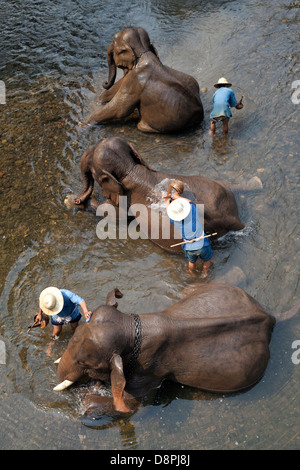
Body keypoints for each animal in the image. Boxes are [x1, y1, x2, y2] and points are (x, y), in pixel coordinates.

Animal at [69, 136, 262, 253]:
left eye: (92, 170)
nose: (76, 199)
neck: (131, 169)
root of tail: (232, 219)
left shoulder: (127, 198)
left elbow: (117, 216)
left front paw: (76, 202)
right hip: (213, 185)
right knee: (226, 184)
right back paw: (257, 182)